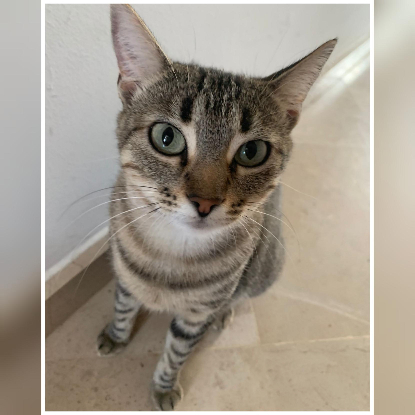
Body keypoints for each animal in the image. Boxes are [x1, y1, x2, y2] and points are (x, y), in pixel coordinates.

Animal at [97, 4, 336, 410]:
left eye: (252, 151)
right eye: (166, 137)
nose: (205, 202)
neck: (169, 254)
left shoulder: (196, 314)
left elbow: (176, 351)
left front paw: (164, 386)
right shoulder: (124, 275)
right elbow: (124, 307)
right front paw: (117, 335)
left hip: (266, 269)